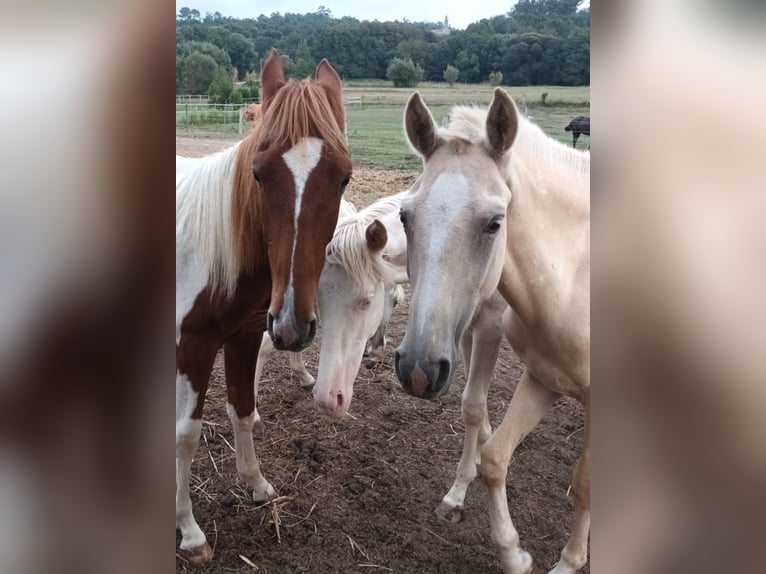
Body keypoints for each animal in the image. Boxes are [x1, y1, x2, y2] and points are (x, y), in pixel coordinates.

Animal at [176, 50, 352, 568]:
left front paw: (256, 484)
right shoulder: (192, 348)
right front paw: (190, 533)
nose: (293, 324)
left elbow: (241, 408)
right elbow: (186, 435)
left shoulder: (246, 335)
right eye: (257, 174)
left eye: (344, 177)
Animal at [400, 88, 592, 572]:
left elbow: (583, 482)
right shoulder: (536, 372)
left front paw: (569, 561)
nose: (416, 369)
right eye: (405, 217)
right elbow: (488, 439)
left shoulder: (486, 326)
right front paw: (509, 550)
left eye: (494, 222)